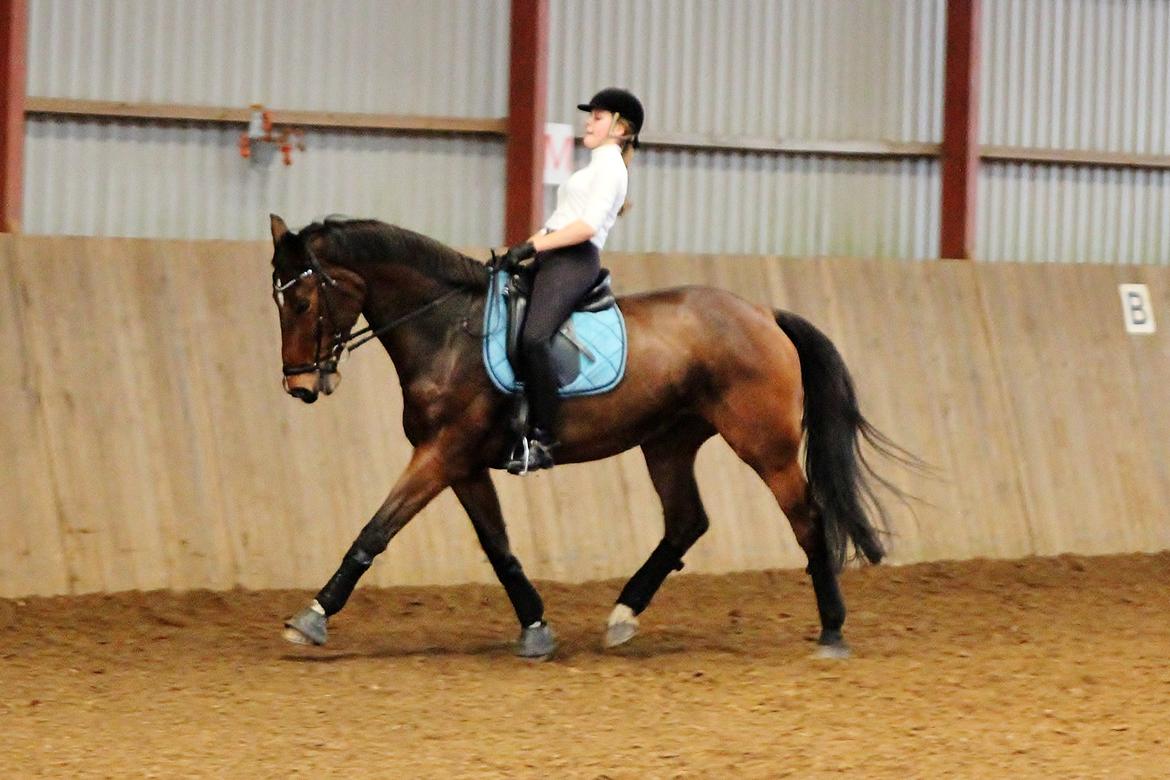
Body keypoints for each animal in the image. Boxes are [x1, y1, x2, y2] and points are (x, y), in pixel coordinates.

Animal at [269, 211, 907, 659]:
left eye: (300, 300)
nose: (299, 386)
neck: (447, 330)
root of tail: (763, 313)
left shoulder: (442, 453)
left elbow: (376, 529)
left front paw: (312, 617)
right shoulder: (464, 463)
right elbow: (498, 547)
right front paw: (535, 626)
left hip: (764, 447)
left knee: (807, 518)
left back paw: (831, 630)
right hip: (668, 442)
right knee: (686, 522)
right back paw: (623, 615)